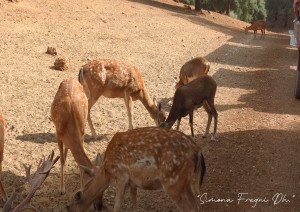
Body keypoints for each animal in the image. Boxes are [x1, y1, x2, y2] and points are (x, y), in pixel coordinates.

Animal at [67, 126, 205, 211]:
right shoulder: (133, 183)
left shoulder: (121, 177)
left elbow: (117, 207)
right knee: (197, 206)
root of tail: (197, 151)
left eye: (68, 207)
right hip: (186, 184)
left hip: (172, 183)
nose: (99, 207)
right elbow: (133, 205)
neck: (106, 172)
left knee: (189, 208)